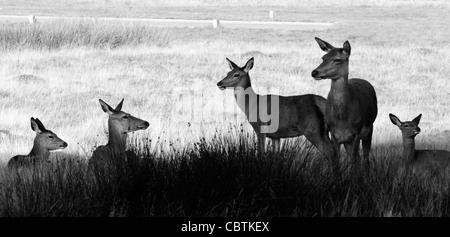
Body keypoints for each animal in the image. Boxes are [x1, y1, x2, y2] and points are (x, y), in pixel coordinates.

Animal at [312, 36, 378, 174]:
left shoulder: (356, 132)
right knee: (359, 157)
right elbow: (336, 161)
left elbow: (353, 160)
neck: (342, 118)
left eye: (337, 60)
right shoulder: (334, 133)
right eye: (323, 58)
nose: (314, 72)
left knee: (365, 158)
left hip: (369, 129)